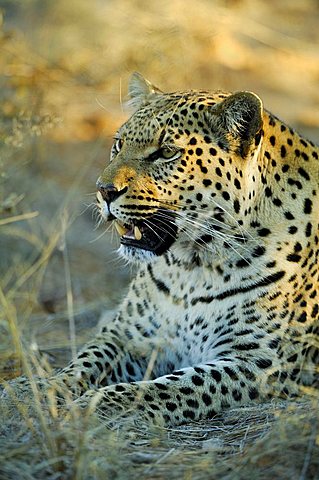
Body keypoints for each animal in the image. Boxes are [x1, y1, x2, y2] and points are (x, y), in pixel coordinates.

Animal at [7, 73, 319, 426]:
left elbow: (168, 386)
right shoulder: (127, 335)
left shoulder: (258, 362)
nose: (103, 190)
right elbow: (84, 362)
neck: (191, 268)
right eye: (118, 144)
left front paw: (97, 404)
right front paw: (35, 390)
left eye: (166, 152)